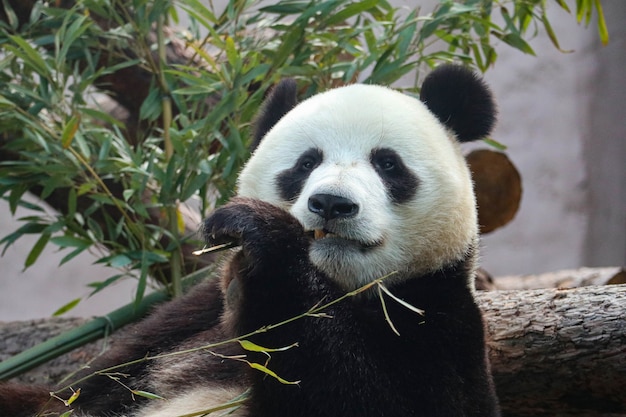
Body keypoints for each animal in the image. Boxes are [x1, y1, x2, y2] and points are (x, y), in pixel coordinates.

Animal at [0, 63, 498, 414]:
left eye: (388, 164)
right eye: (306, 163)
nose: (331, 204)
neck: (338, 288)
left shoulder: (437, 319)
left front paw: (267, 244)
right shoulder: (186, 317)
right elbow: (72, 395)